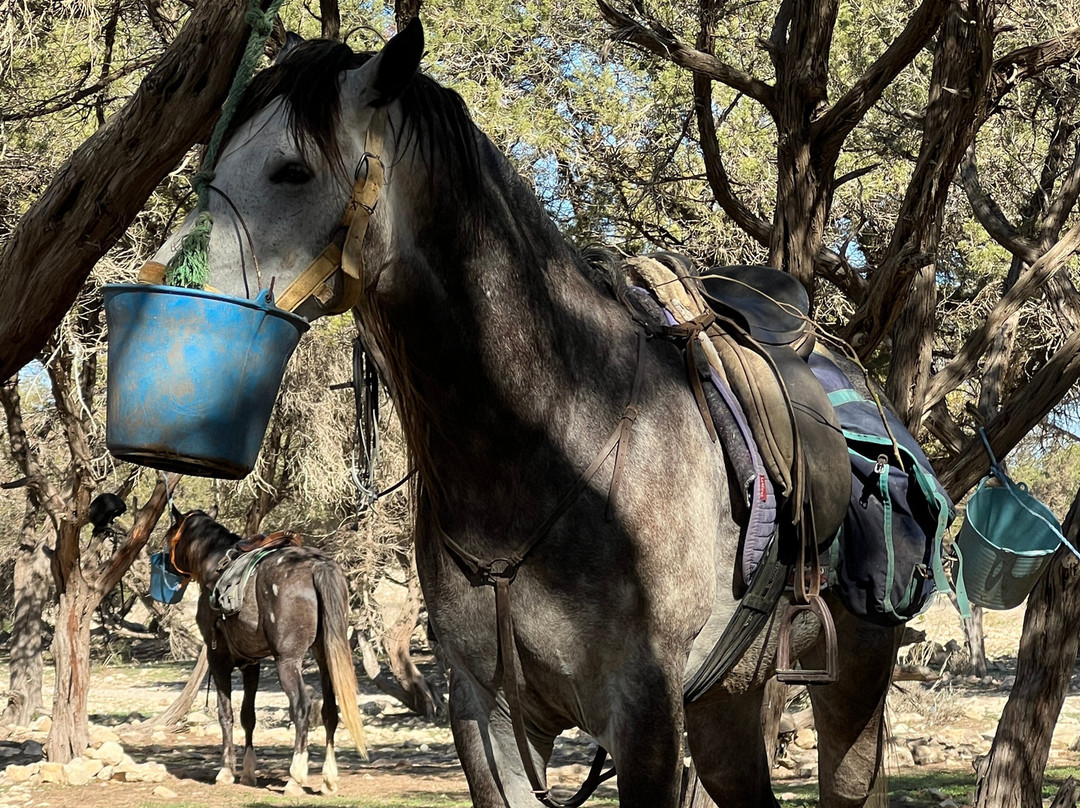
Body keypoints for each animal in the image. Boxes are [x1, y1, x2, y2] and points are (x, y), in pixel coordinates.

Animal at [162, 506, 367, 796]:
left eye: (169, 537)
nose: (165, 565)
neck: (215, 565)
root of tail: (317, 566)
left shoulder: (218, 659)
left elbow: (226, 714)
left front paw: (226, 770)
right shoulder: (252, 663)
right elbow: (248, 716)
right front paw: (248, 773)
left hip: (288, 661)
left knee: (301, 707)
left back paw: (295, 778)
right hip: (325, 657)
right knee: (329, 711)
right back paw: (328, 779)